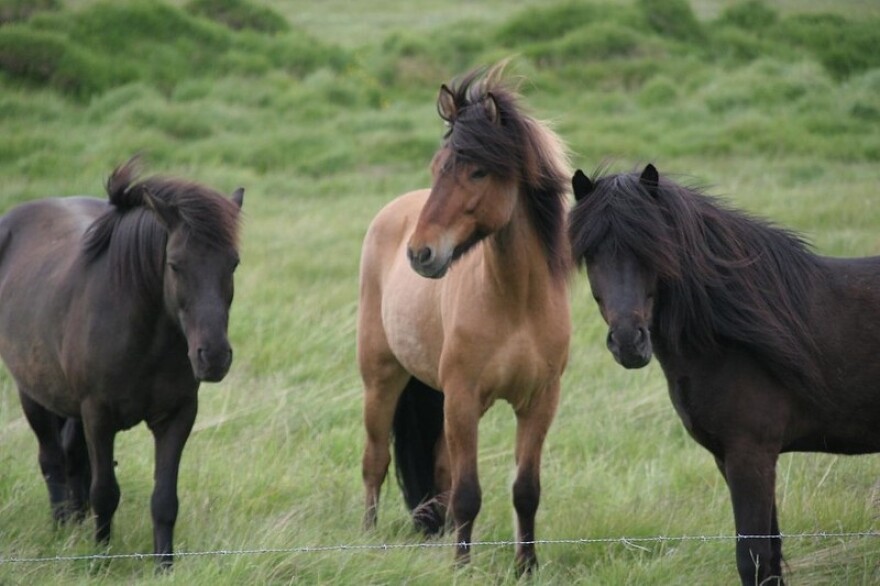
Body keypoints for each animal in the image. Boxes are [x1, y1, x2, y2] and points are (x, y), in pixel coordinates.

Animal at [0, 158, 243, 568]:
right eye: (175, 265)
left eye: (234, 263)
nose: (213, 357)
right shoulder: (98, 415)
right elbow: (105, 492)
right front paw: (99, 560)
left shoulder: (177, 416)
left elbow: (164, 498)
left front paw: (164, 566)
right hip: (32, 393)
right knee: (52, 459)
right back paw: (61, 528)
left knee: (73, 457)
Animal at [357, 65, 572, 572]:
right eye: (438, 168)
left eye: (477, 170)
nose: (421, 253)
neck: (517, 302)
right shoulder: (463, 398)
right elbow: (468, 492)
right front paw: (461, 566)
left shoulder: (539, 402)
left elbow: (525, 491)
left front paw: (526, 567)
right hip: (381, 380)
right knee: (375, 462)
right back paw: (368, 538)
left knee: (438, 470)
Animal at [568, 163, 880, 585]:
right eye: (591, 253)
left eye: (653, 247)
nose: (628, 342)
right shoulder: (730, 458)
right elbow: (770, 555)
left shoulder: (751, 456)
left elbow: (752, 558)